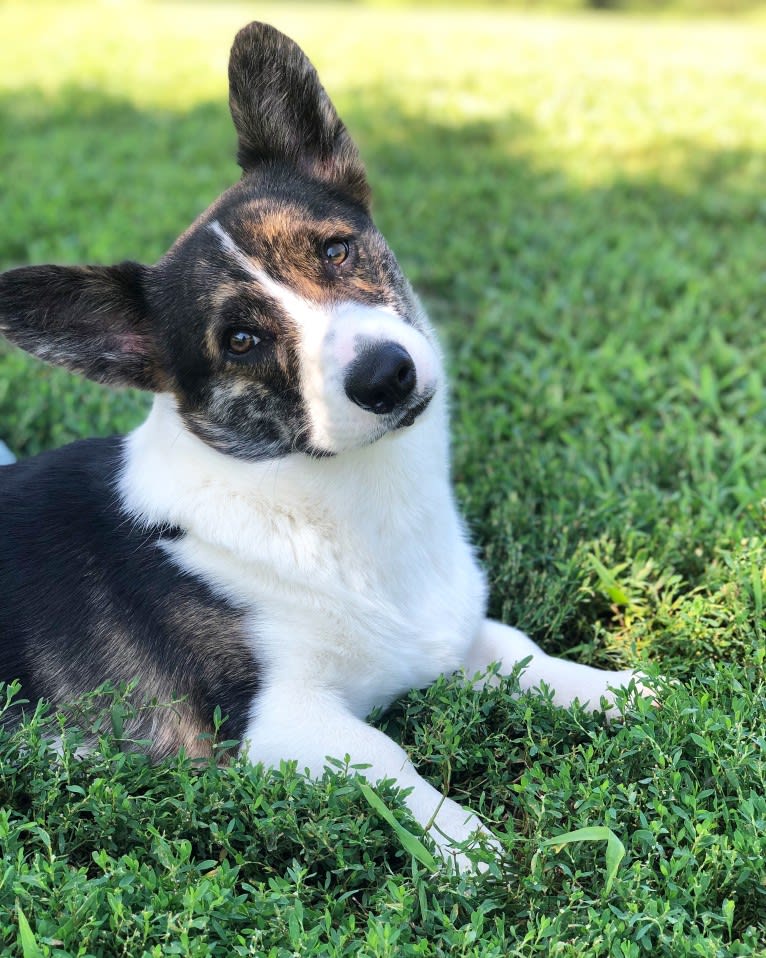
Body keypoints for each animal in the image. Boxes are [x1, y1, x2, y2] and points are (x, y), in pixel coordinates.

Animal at [0, 22, 648, 868]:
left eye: (336, 251)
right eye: (241, 340)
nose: (386, 376)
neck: (337, 500)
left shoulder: (457, 639)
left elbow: (525, 656)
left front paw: (623, 692)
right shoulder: (277, 721)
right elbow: (387, 758)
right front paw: (471, 850)